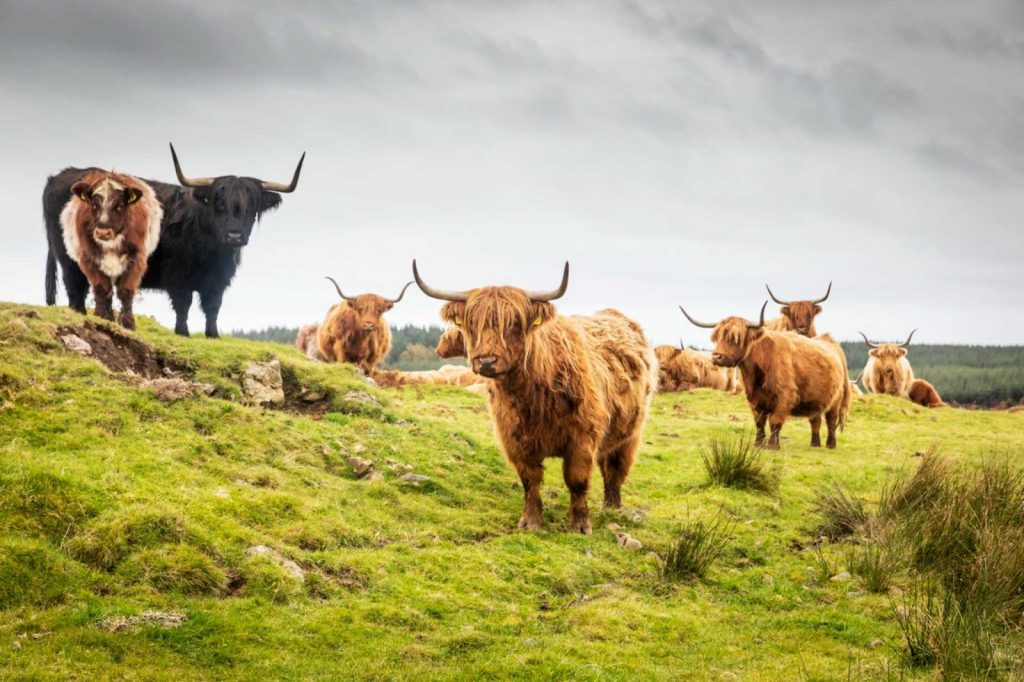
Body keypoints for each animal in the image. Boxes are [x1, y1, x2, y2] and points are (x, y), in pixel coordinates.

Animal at [59, 171, 163, 330]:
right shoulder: (88, 258)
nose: (103, 232)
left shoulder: (137, 258)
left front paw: (128, 323)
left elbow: (125, 290)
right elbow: (102, 288)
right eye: (94, 204)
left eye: (120, 205)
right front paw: (102, 317)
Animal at [413, 261, 656, 534]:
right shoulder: (515, 439)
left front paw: (580, 524)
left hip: (629, 433)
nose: (486, 361)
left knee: (615, 470)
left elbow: (577, 480)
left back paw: (612, 508)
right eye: (472, 323)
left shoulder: (583, 437)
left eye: (514, 323)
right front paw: (530, 521)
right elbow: (530, 480)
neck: (531, 395)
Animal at [681, 303, 851, 449]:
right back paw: (815, 443)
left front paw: (773, 445)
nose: (717, 357)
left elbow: (775, 421)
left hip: (836, 399)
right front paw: (758, 444)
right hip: (816, 398)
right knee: (815, 420)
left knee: (831, 420)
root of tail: (832, 343)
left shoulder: (785, 395)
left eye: (736, 338)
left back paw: (830, 444)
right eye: (716, 337)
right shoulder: (754, 398)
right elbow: (759, 421)